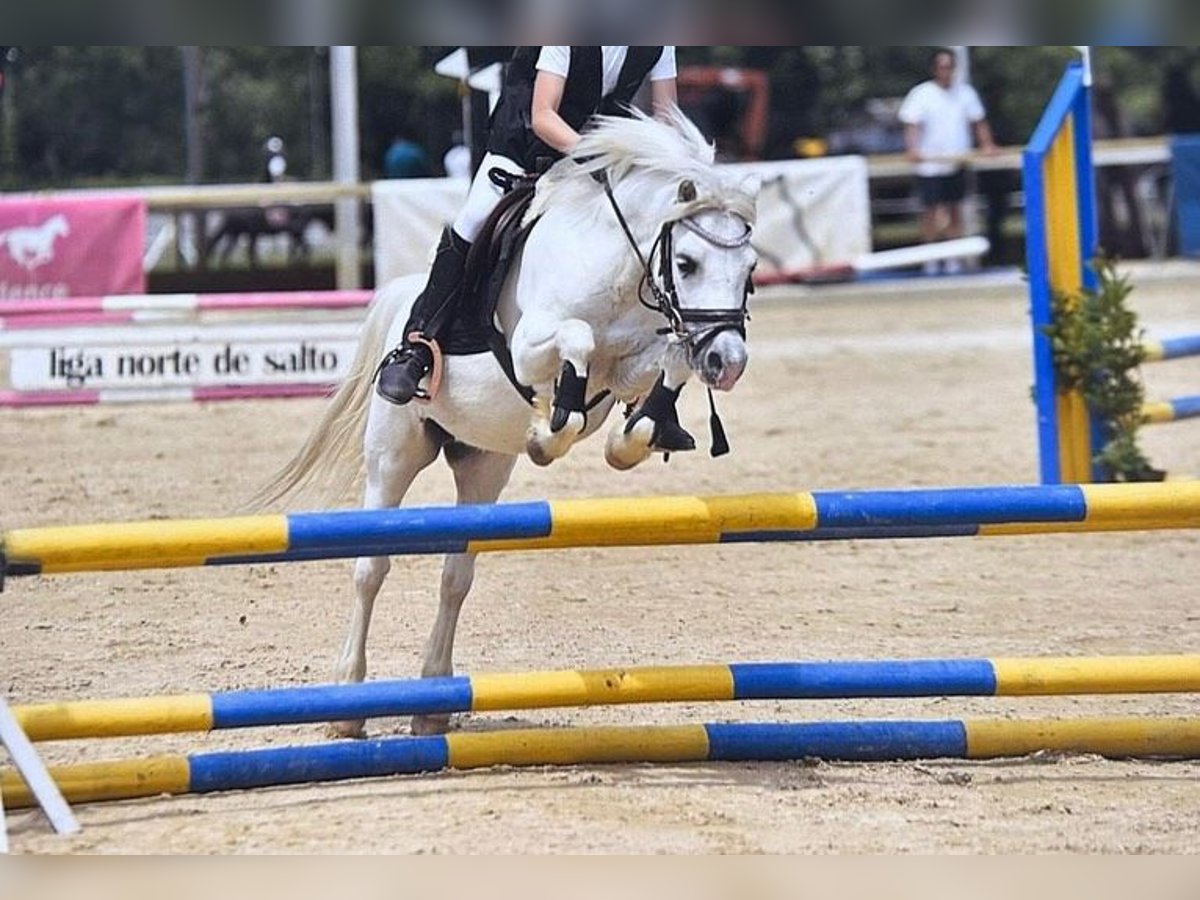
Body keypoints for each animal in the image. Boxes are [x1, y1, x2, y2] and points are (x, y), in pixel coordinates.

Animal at [256, 108, 760, 737]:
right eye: (687, 264)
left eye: (751, 268)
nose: (729, 363)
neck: (618, 268)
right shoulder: (531, 346)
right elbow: (578, 341)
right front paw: (550, 430)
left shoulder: (640, 358)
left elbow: (665, 362)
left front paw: (633, 436)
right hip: (394, 455)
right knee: (370, 568)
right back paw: (347, 704)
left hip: (483, 466)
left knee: (455, 578)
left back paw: (433, 705)